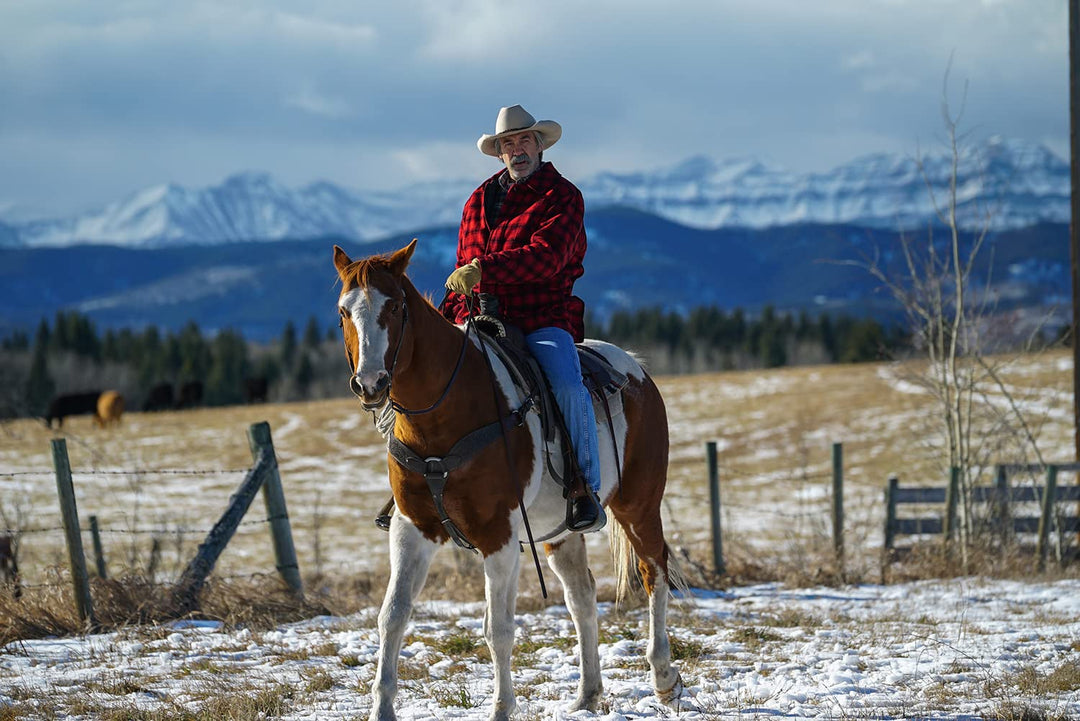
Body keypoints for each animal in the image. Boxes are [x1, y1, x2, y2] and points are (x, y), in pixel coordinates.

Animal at [334, 239, 684, 721]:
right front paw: (382, 709)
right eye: (344, 311)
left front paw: (501, 708)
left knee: (654, 575)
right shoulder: (412, 528)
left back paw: (664, 678)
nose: (370, 383)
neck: (445, 415)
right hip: (561, 531)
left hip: (639, 507)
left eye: (395, 306)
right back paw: (588, 694)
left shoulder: (497, 534)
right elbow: (393, 616)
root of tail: (638, 372)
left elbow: (498, 628)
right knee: (582, 596)